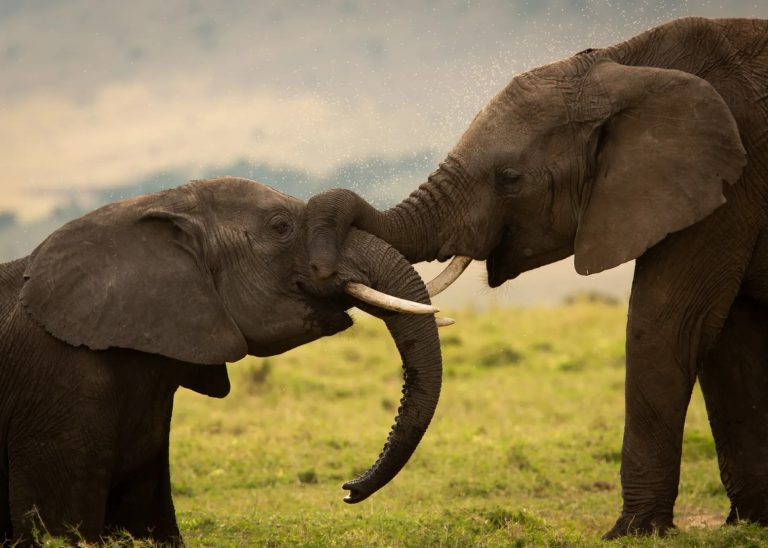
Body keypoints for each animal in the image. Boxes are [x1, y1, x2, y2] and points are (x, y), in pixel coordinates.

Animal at [304, 17, 768, 540]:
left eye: (510, 178)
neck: (624, 64)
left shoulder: (724, 187)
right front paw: (749, 524)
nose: (347, 490)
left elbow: (669, 324)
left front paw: (631, 533)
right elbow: (727, 342)